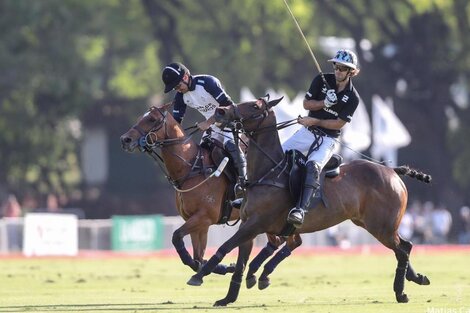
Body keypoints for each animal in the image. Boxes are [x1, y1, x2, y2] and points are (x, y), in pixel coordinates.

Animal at [119, 105, 241, 272]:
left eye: (151, 119)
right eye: (139, 118)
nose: (125, 139)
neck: (192, 169)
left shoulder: (204, 217)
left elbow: (177, 236)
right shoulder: (197, 221)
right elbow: (198, 259)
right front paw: (223, 267)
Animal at [187, 95, 434, 304]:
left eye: (255, 106)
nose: (220, 111)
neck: (268, 173)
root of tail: (392, 171)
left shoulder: (255, 224)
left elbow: (224, 247)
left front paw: (199, 276)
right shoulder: (248, 226)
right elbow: (239, 263)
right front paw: (227, 298)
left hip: (381, 225)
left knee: (403, 249)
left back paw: (401, 292)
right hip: (371, 223)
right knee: (404, 247)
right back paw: (416, 279)